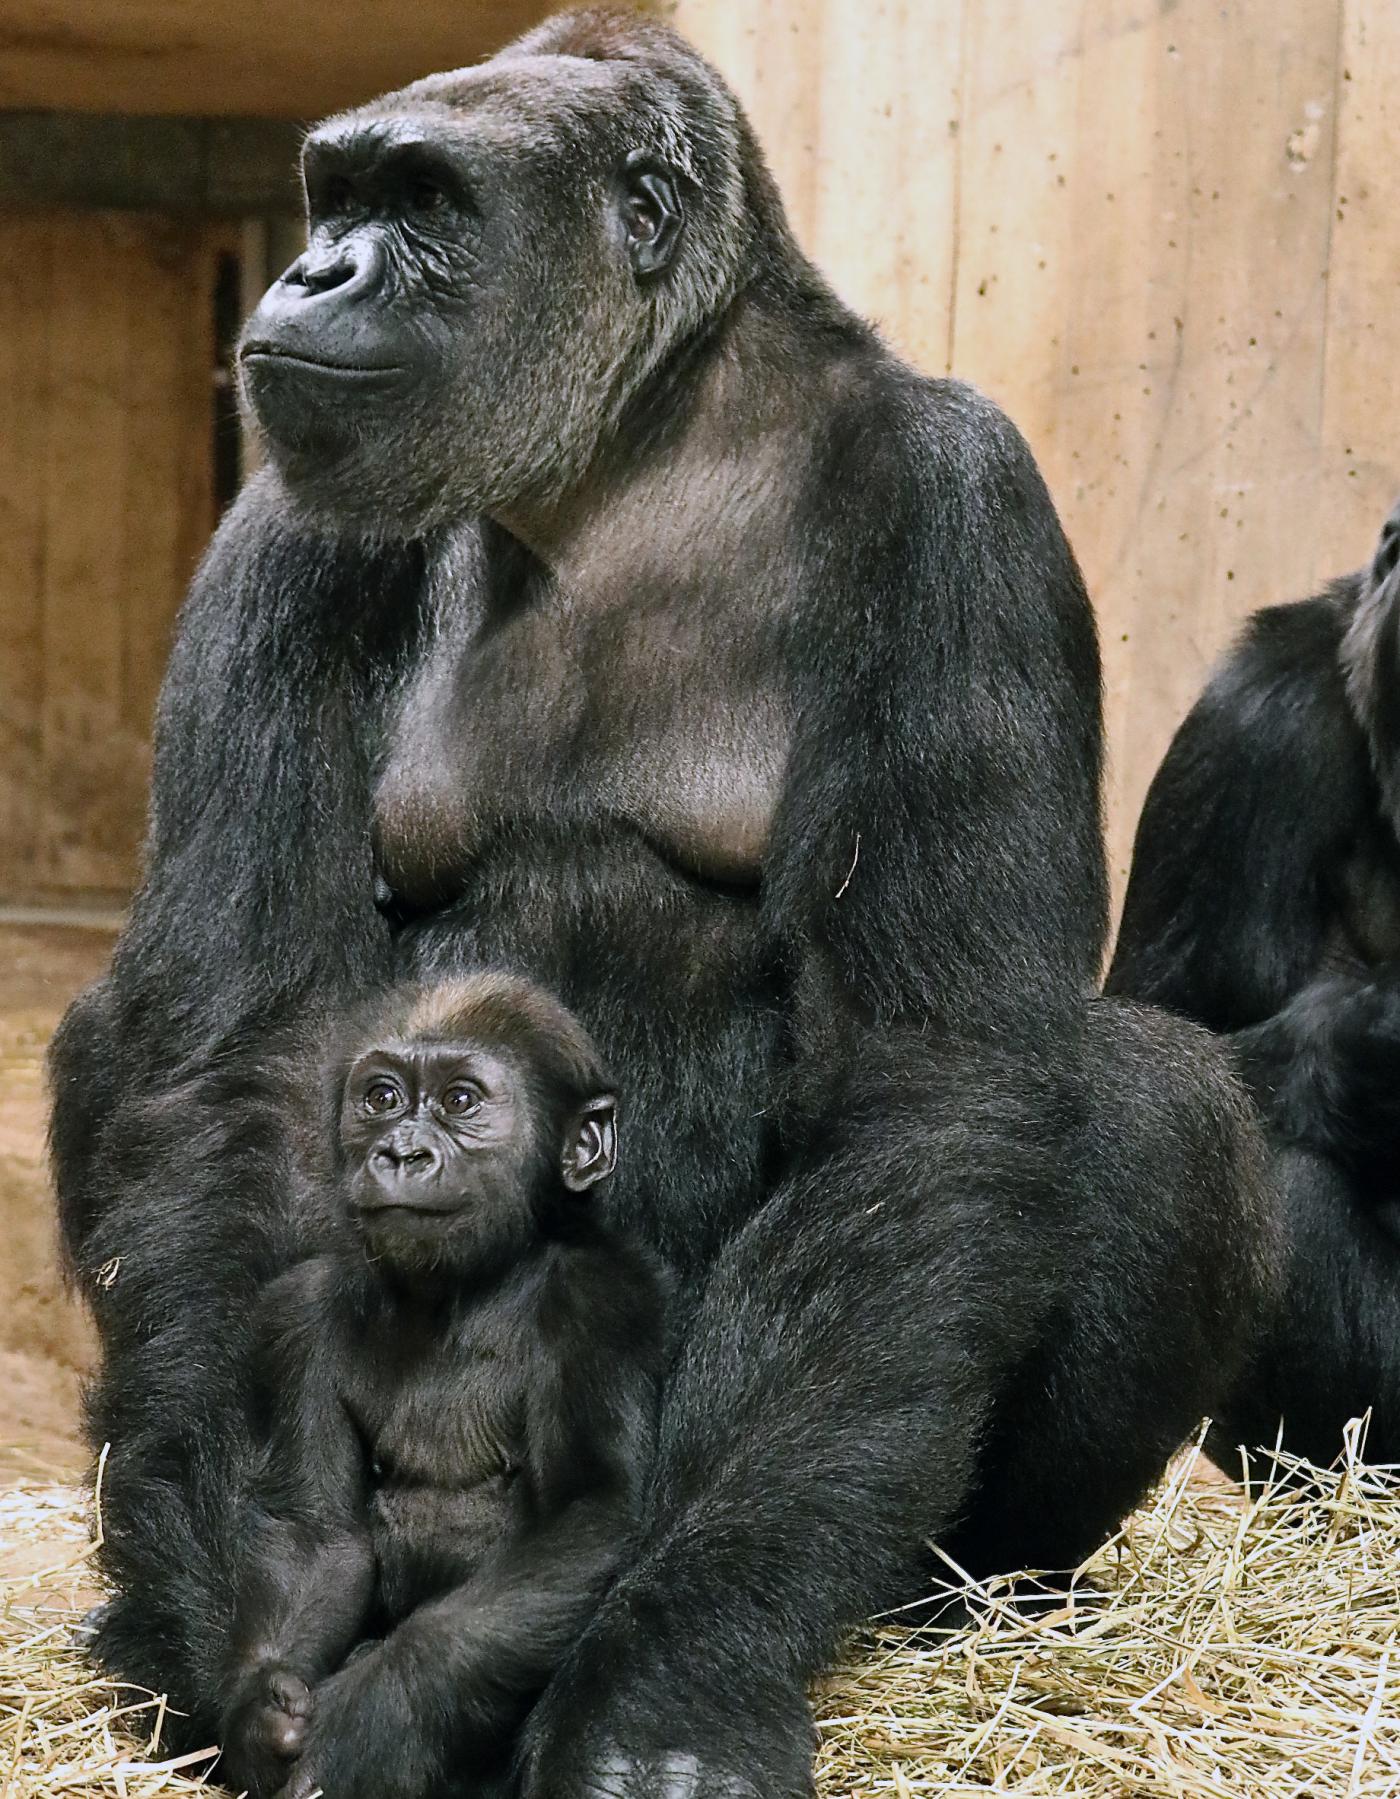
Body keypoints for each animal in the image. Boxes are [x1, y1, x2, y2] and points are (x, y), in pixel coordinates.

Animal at [219, 985, 665, 1799]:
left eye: (461, 1101)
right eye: (382, 1097)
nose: (402, 1152)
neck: (466, 1288)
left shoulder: (601, 1304)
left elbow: (590, 1510)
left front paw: (375, 1712)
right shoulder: (300, 1318)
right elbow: (319, 1538)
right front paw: (258, 1720)